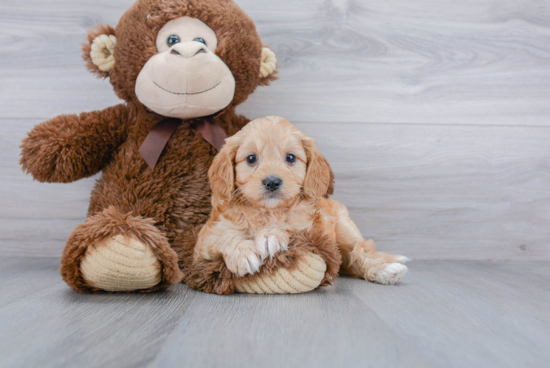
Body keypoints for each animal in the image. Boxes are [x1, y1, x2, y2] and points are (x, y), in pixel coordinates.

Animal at [195, 116, 410, 284]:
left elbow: (291, 225)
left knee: (360, 253)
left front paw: (270, 235)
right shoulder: (202, 244)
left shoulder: (310, 229)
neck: (268, 211)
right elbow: (225, 235)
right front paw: (243, 253)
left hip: (345, 229)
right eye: (251, 159)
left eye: (290, 158)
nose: (272, 182)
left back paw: (385, 271)